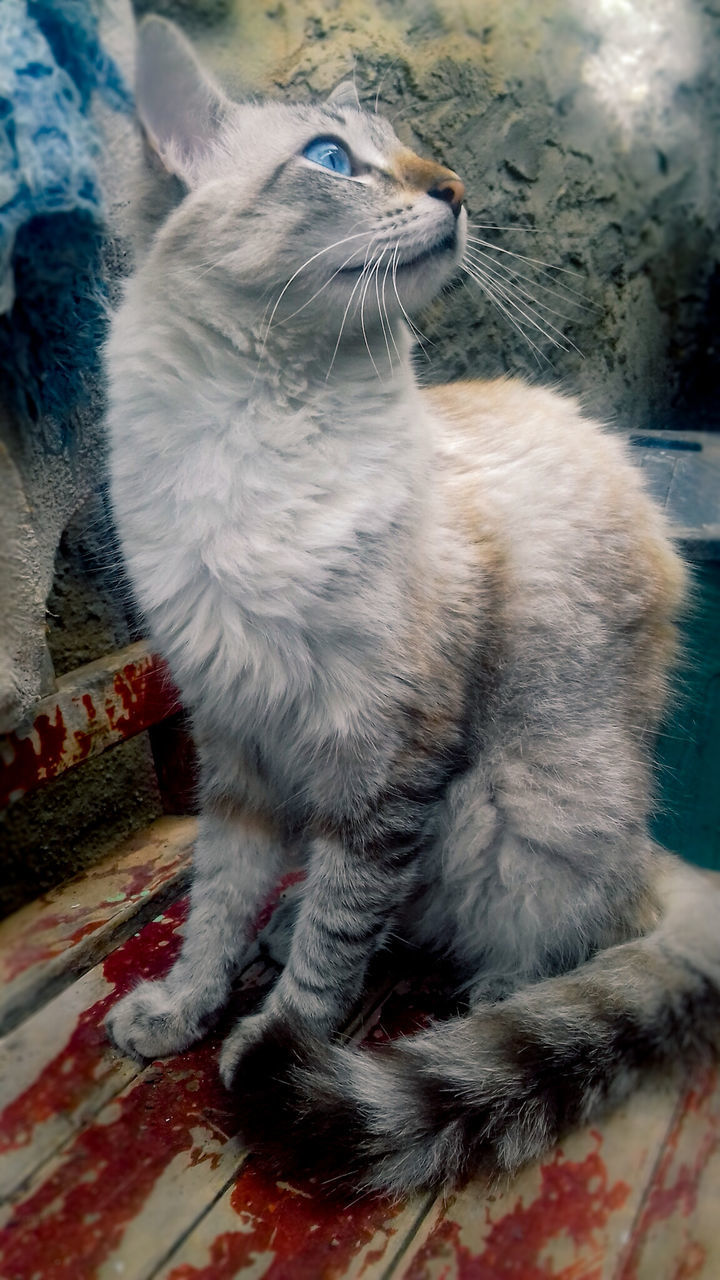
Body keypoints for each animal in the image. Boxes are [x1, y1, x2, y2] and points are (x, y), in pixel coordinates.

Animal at [103, 15, 717, 1192]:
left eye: (416, 153)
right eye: (331, 159)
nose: (458, 190)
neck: (259, 434)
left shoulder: (387, 757)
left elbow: (332, 951)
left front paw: (267, 1046)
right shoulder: (236, 745)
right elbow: (216, 907)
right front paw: (184, 1009)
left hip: (514, 808)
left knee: (556, 936)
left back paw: (494, 1002)